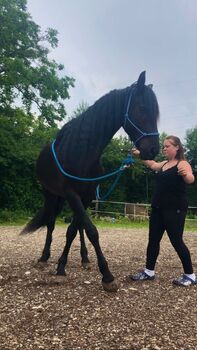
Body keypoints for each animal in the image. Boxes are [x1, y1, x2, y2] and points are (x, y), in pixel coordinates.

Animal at [21, 72, 160, 292]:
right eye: (141, 108)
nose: (153, 150)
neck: (82, 152)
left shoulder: (86, 197)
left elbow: (75, 230)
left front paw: (63, 266)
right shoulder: (71, 194)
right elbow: (91, 230)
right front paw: (107, 276)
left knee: (76, 227)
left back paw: (84, 259)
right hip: (50, 194)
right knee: (50, 223)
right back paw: (44, 258)